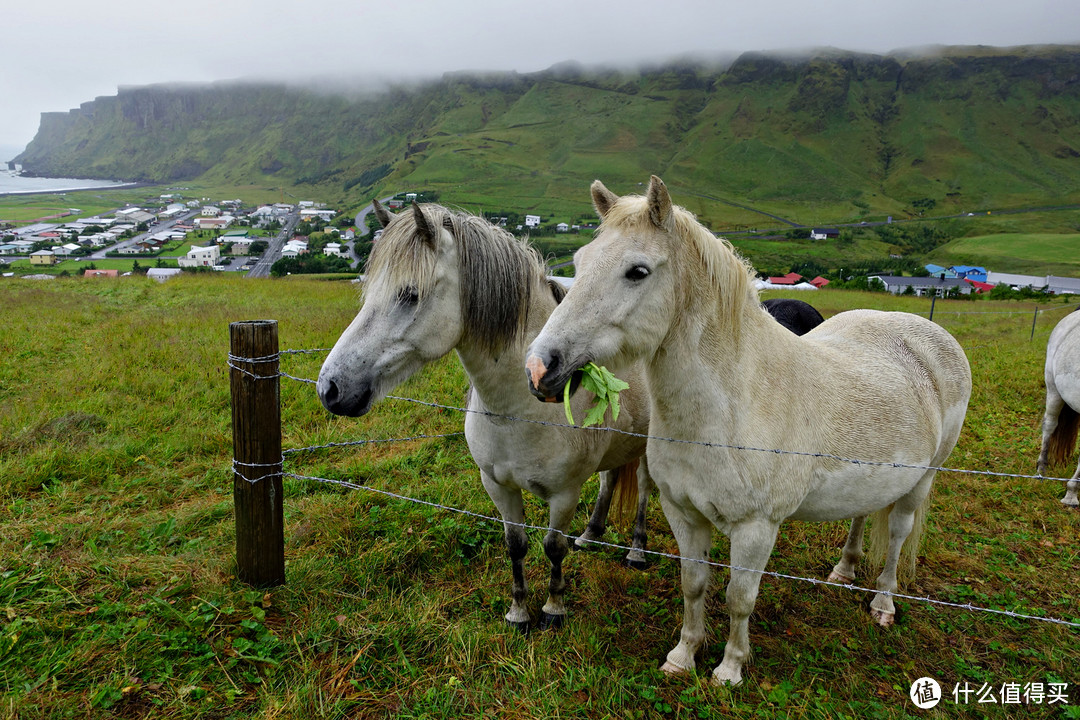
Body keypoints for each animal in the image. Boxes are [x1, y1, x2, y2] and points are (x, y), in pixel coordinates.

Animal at [315, 201, 652, 630]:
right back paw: (591, 535)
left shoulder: (565, 494)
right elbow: (516, 545)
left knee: (643, 487)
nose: (330, 389)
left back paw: (637, 551)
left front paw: (553, 608)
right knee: (611, 477)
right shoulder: (497, 485)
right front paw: (518, 612)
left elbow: (553, 547)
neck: (521, 411)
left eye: (410, 295)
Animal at [522, 177, 972, 686]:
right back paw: (844, 570)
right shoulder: (683, 514)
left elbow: (740, 597)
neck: (730, 408)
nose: (540, 368)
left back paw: (883, 603)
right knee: (862, 514)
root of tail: (927, 332)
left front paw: (730, 668)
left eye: (637, 271)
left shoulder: (757, 528)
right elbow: (693, 584)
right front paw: (683, 656)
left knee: (897, 534)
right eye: (578, 264)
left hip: (922, 481)